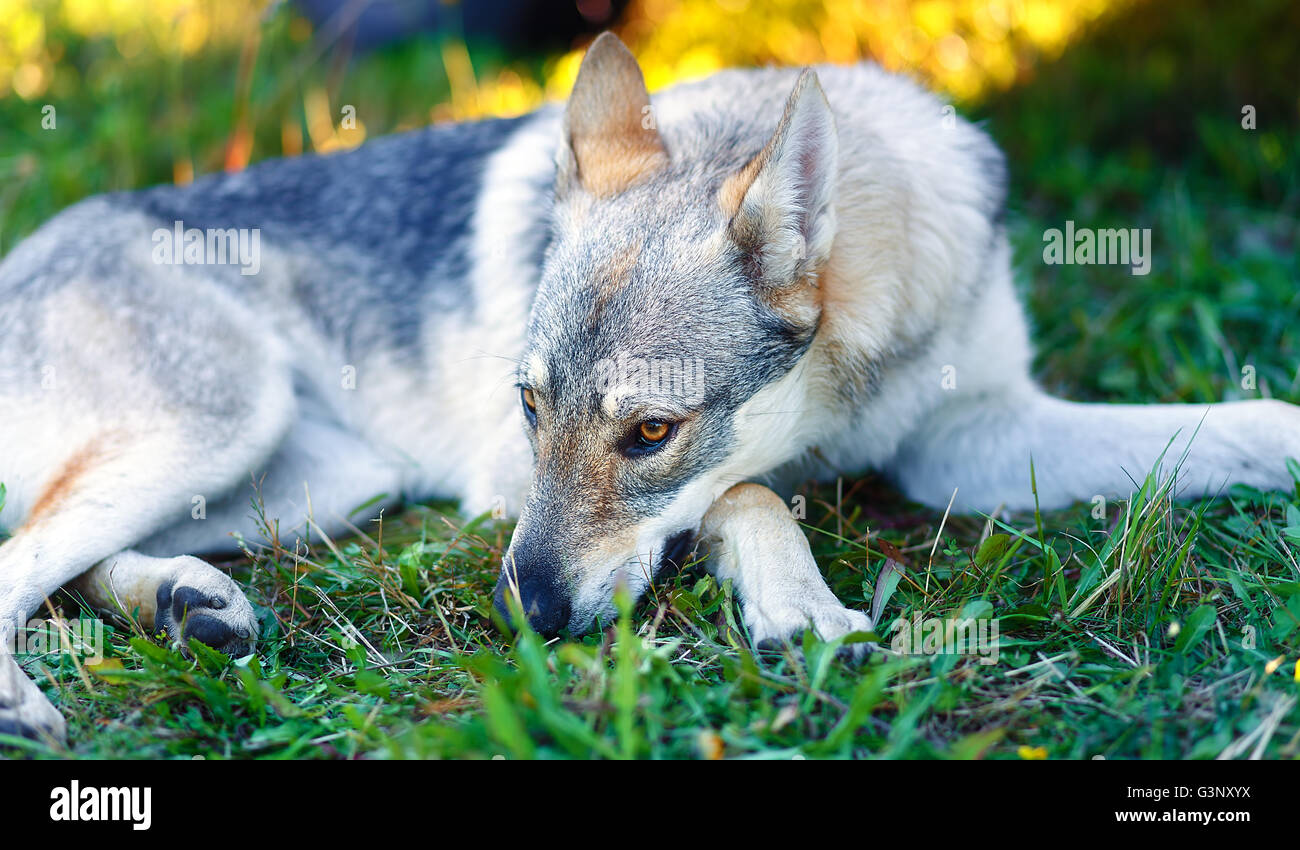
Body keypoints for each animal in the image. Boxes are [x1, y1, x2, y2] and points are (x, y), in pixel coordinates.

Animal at [2, 32, 1297, 743]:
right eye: (528, 409)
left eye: (650, 432)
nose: (523, 619)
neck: (854, 375)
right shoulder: (533, 479)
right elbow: (751, 492)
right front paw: (800, 607)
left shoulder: (970, 437)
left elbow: (1241, 423)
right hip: (226, 426)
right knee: (21, 557)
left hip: (310, 479)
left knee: (61, 557)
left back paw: (184, 602)